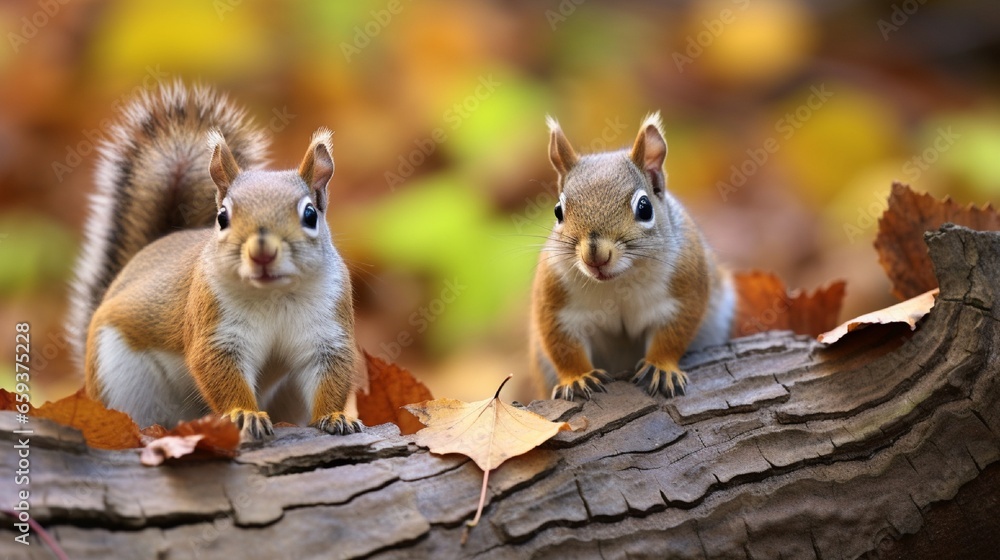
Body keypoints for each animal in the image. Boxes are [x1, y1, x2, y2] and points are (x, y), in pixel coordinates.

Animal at [68, 82, 362, 440]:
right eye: (222, 217)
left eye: (310, 215)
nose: (262, 252)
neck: (273, 295)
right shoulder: (215, 324)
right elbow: (218, 368)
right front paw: (245, 414)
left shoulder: (327, 328)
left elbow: (331, 373)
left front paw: (335, 416)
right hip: (121, 378)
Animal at [529, 113, 735, 401]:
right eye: (558, 211)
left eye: (645, 208)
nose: (595, 256)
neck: (619, 281)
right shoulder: (557, 302)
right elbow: (562, 345)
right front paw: (578, 378)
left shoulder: (683, 290)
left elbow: (673, 334)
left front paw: (661, 368)